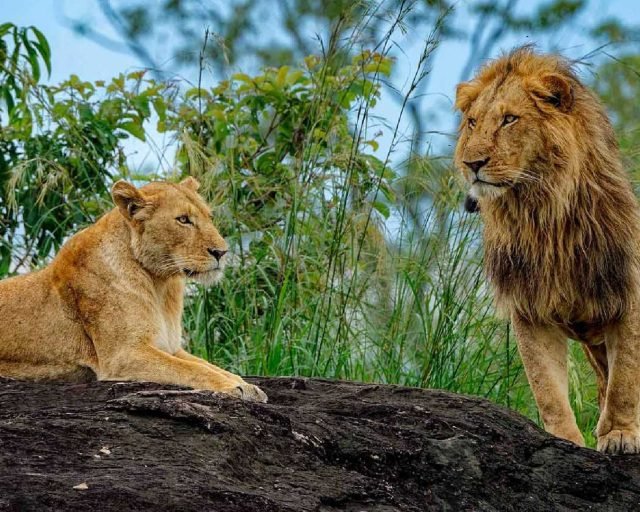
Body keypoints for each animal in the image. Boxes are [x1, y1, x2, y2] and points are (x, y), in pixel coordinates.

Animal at [0, 177, 267, 402]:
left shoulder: (170, 346)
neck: (160, 284)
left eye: (209, 217)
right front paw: (233, 387)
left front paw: (244, 384)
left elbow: (207, 364)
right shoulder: (124, 354)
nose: (222, 252)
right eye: (183, 220)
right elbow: (191, 369)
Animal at [454, 46, 640, 454]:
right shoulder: (529, 307)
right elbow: (547, 389)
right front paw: (565, 440)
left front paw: (619, 435)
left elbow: (625, 378)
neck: (542, 216)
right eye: (472, 122)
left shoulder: (629, 293)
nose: (472, 163)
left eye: (509, 119)